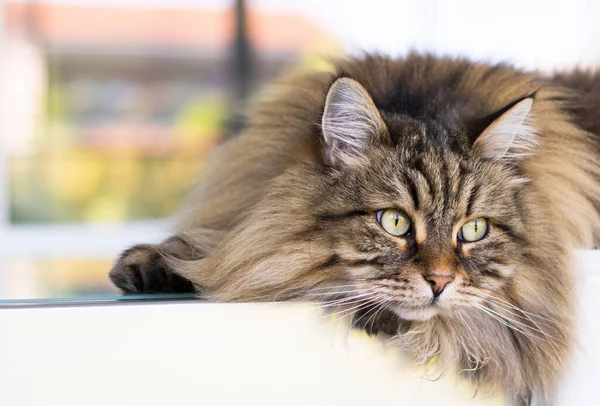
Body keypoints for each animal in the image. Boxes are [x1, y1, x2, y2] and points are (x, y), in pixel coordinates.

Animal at [108, 54, 600, 406]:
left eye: (474, 229)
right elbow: (213, 248)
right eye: (395, 221)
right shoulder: (241, 217)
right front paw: (152, 264)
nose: (439, 282)